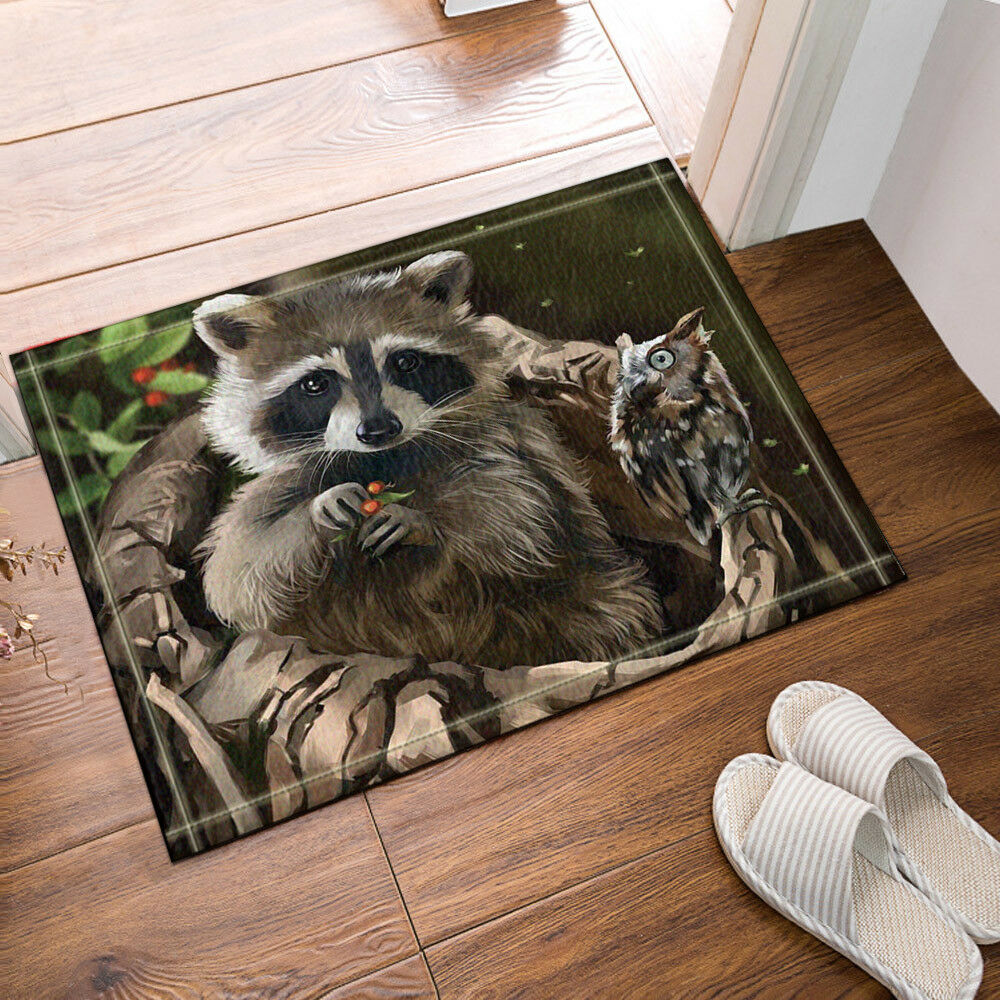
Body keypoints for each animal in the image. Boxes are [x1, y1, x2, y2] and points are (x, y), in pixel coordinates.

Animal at [194, 251, 663, 668]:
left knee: (609, 610)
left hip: (588, 598)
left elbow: (523, 516)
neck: (384, 460)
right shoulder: (287, 483)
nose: (378, 431)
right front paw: (317, 511)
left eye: (405, 361)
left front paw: (423, 521)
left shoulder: (508, 440)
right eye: (314, 384)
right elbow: (240, 569)